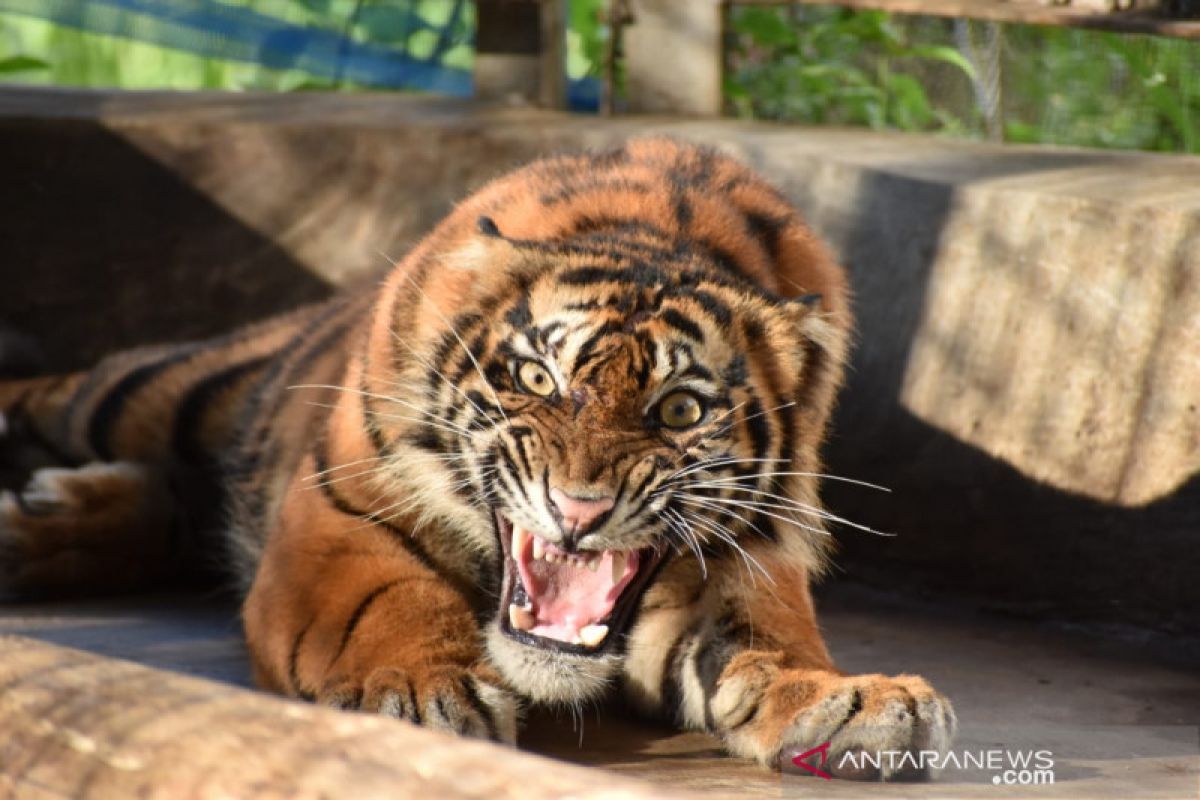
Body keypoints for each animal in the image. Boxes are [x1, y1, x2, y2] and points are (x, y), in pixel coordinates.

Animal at [2, 139, 955, 782]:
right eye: (537, 378)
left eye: (679, 410)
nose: (579, 509)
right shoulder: (339, 511)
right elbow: (386, 598)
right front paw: (422, 690)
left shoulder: (753, 552)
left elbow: (769, 635)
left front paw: (857, 701)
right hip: (144, 394)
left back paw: (36, 527)